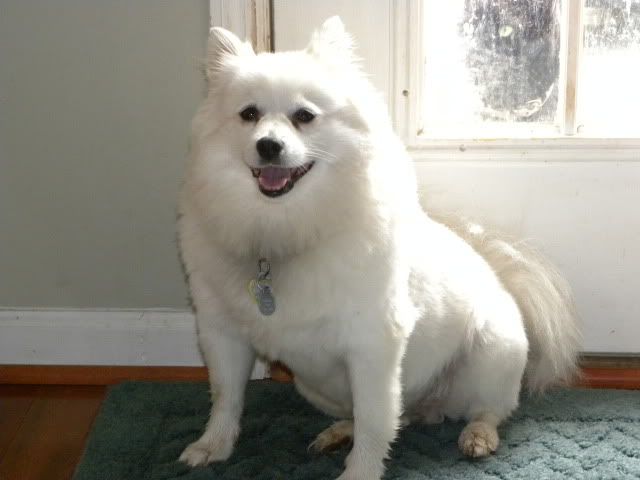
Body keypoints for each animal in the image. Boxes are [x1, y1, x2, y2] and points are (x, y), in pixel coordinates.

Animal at [178, 16, 584, 478]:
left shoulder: (372, 345)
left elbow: (376, 420)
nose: (268, 146)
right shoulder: (222, 333)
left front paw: (361, 471)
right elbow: (226, 398)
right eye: (249, 114)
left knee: (489, 410)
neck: (284, 230)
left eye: (304, 116)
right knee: (395, 416)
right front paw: (213, 446)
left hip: (493, 353)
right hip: (314, 387)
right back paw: (340, 432)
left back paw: (477, 436)